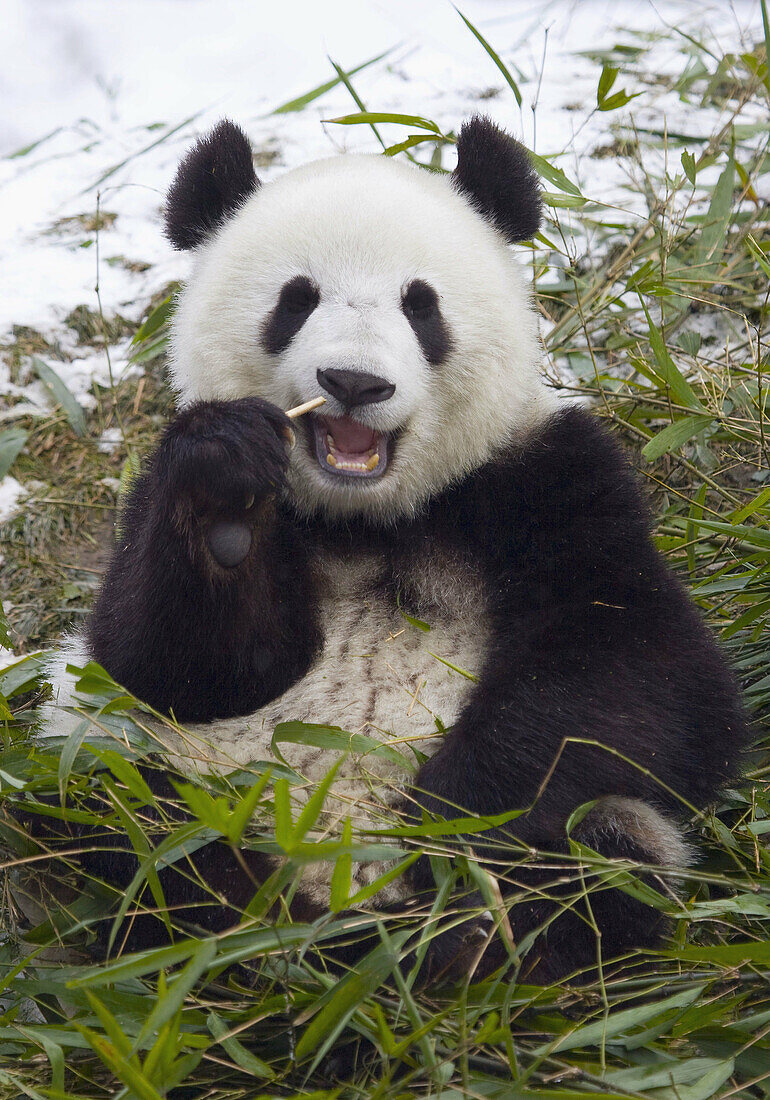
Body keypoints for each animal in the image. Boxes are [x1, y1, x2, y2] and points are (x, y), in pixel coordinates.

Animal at [40, 118, 748, 981]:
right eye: (296, 300)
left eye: (421, 306)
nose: (353, 382)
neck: (364, 516)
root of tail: (337, 901)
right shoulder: (157, 511)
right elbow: (170, 665)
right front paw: (224, 497)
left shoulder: (547, 481)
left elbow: (641, 675)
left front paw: (446, 816)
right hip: (167, 774)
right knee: (129, 825)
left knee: (605, 853)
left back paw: (471, 937)